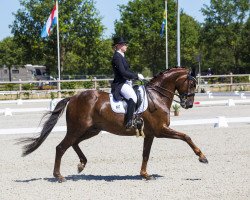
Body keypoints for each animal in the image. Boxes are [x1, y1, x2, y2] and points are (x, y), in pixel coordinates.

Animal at [17, 66, 208, 182]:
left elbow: (145, 154)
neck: (157, 97)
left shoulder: (150, 134)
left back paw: (81, 164)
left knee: (74, 143)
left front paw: (145, 175)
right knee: (61, 147)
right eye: (192, 83)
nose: (189, 104)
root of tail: (73, 97)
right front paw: (202, 157)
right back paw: (59, 176)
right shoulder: (161, 130)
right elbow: (186, 136)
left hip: (91, 130)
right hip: (77, 128)